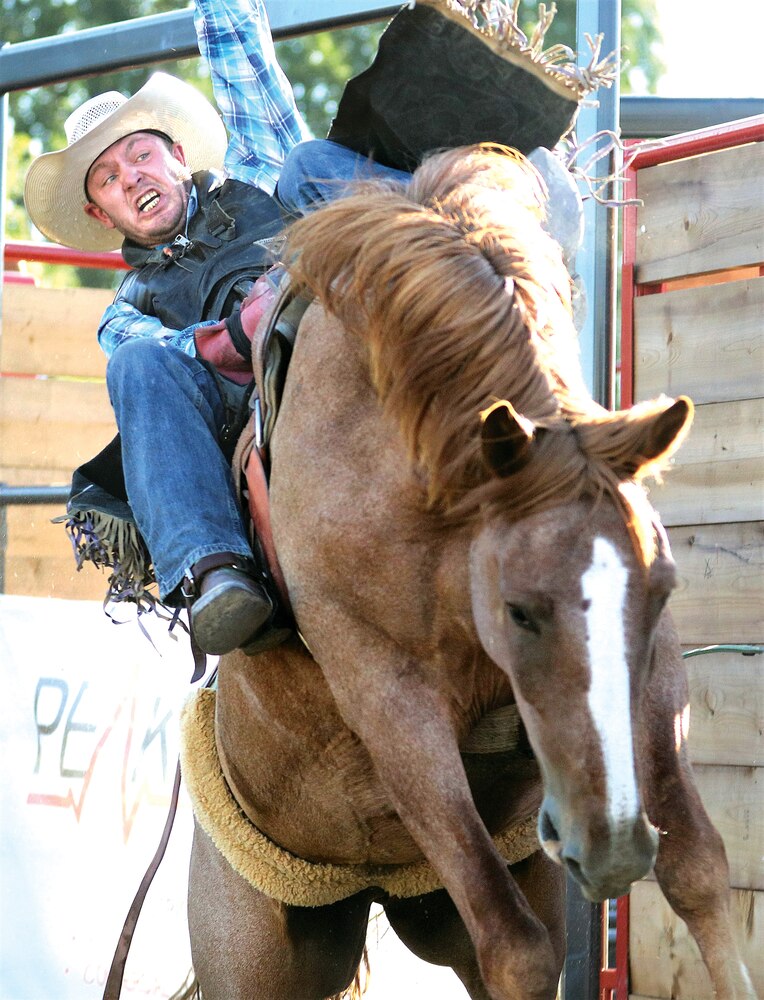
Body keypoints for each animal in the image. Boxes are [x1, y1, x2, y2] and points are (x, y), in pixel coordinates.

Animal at [187, 148, 760, 1000]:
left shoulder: (656, 671)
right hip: (250, 952)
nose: (613, 844)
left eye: (661, 593)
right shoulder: (385, 693)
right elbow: (517, 946)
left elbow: (696, 868)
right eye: (521, 610)